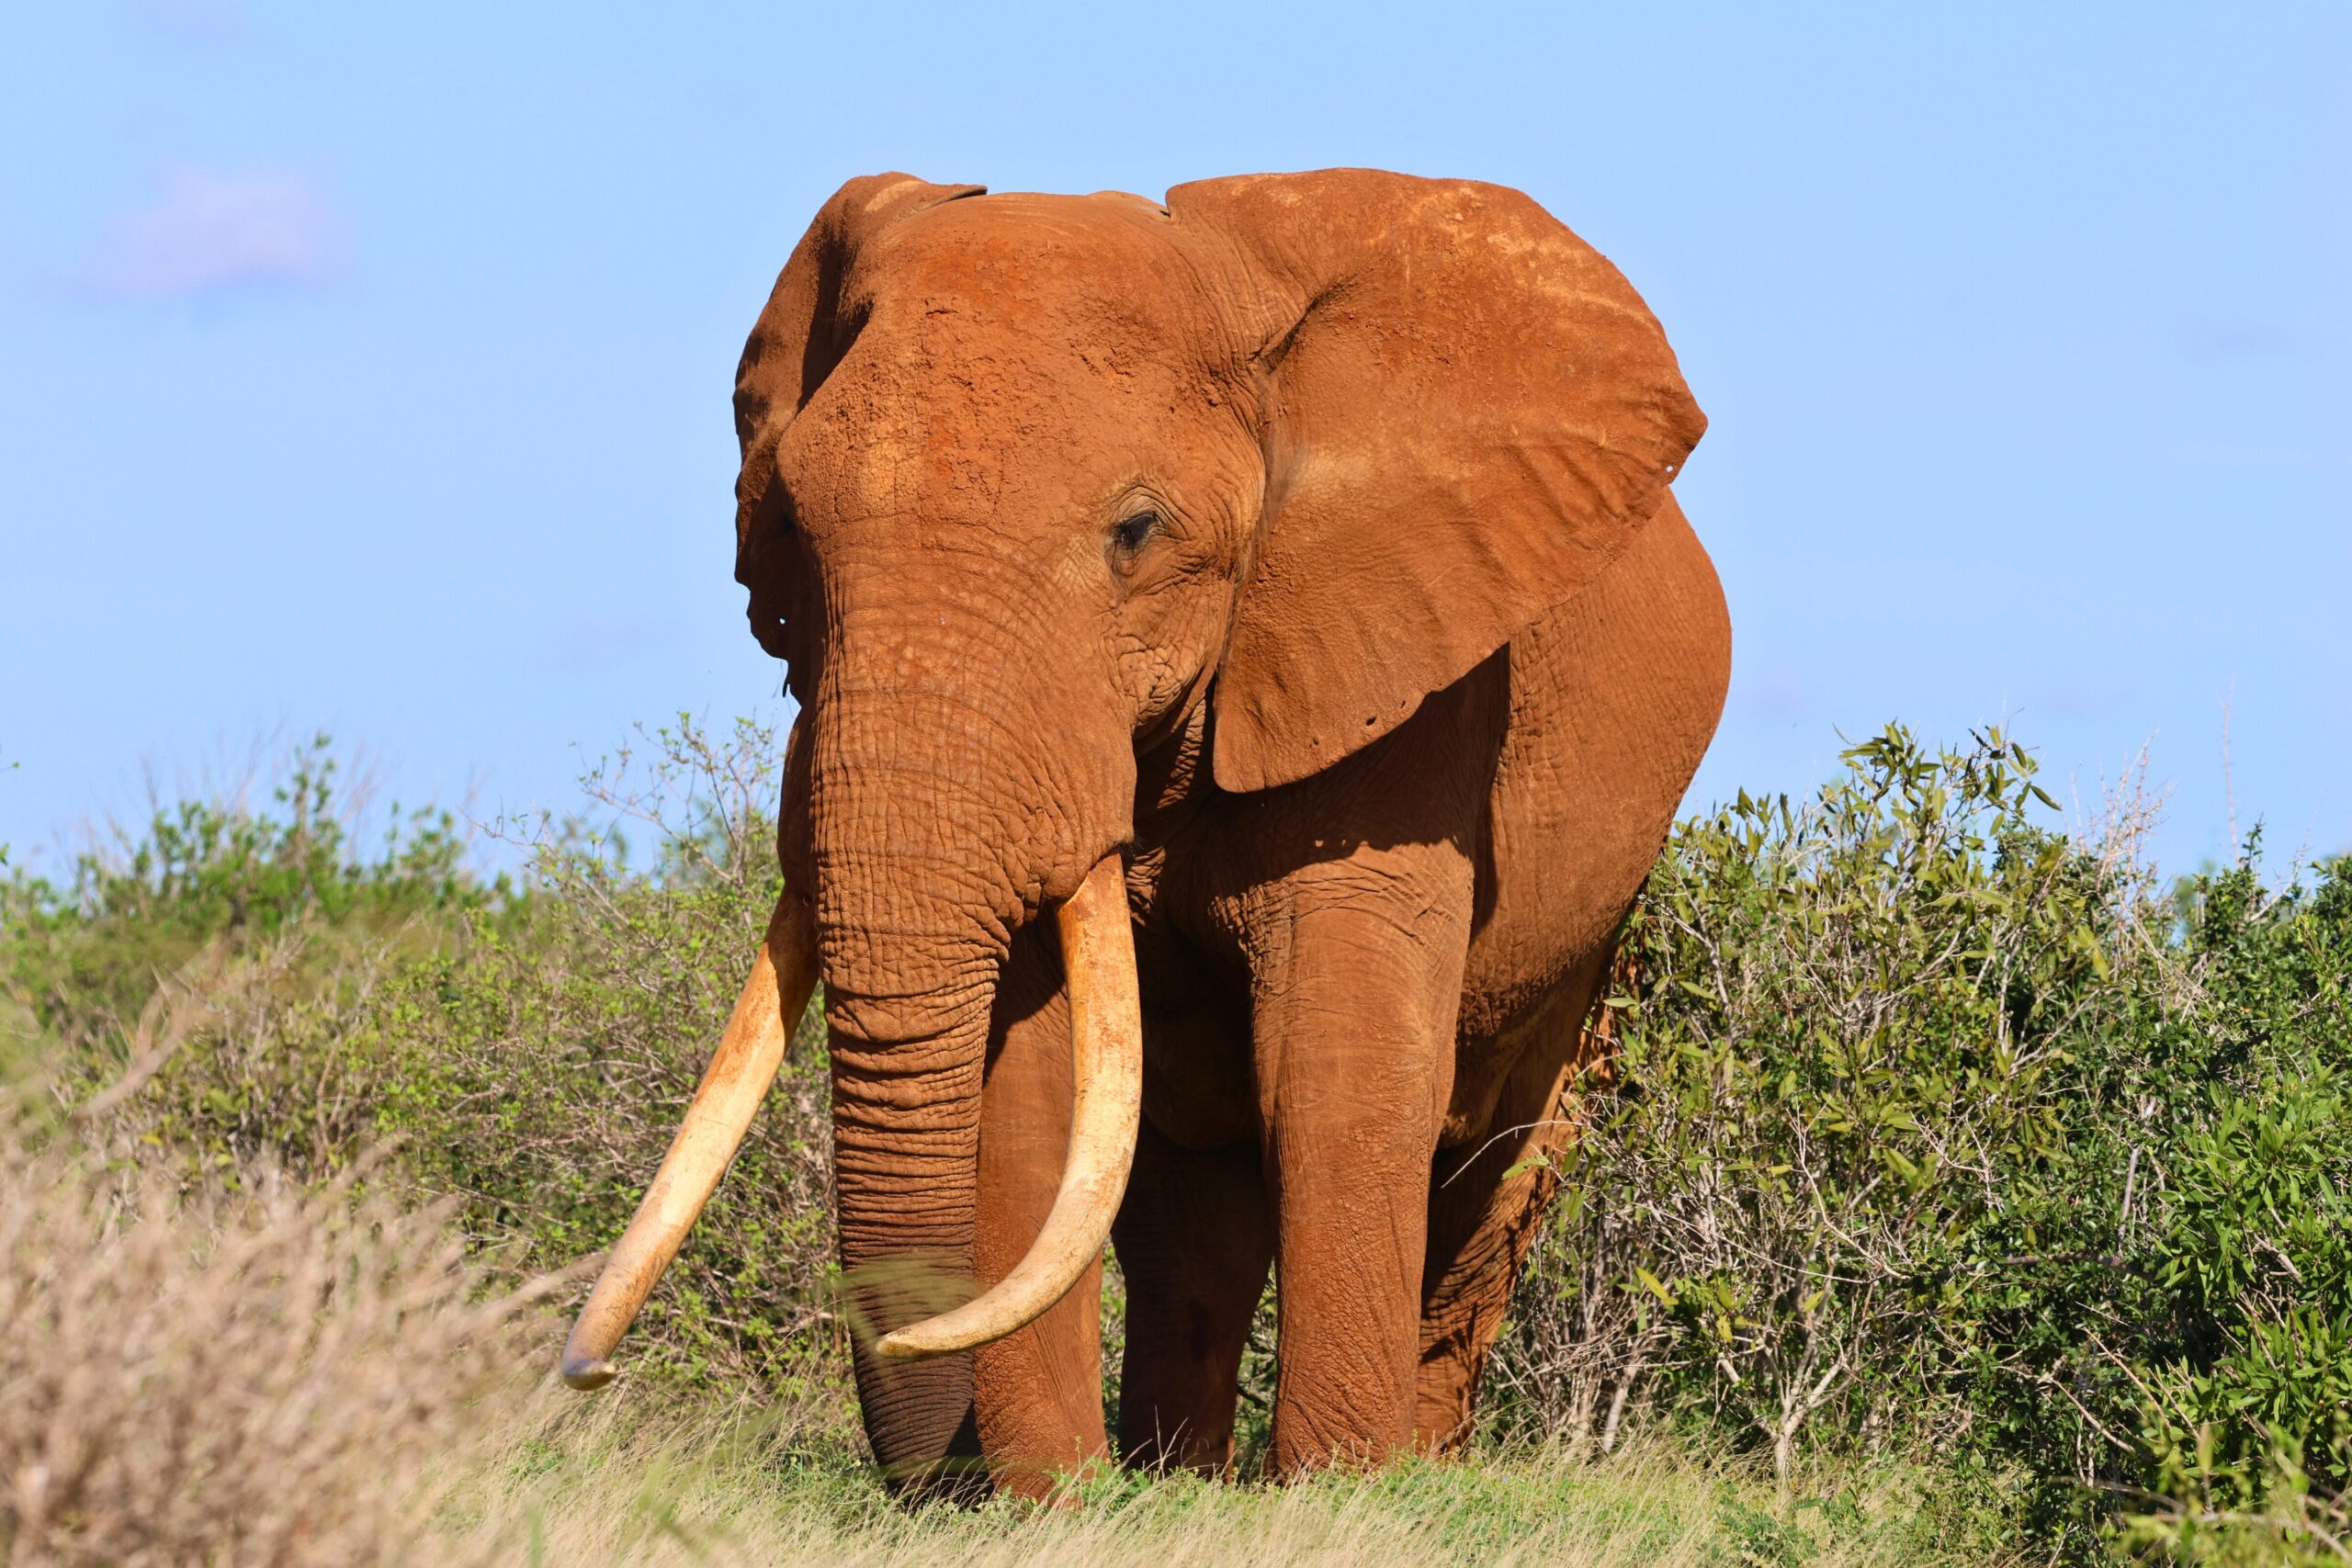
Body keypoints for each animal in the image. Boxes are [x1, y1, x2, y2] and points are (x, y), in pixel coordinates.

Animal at [559, 167, 1731, 1500]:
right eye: (792, 530)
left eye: (1136, 532)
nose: (934, 1462)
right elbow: (1030, 1090)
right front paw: (1051, 1502)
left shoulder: (1412, 672)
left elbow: (1338, 1073)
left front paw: (1340, 1495)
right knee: (1191, 1220)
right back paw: (1176, 1477)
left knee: (1496, 1174)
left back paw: (1421, 1469)